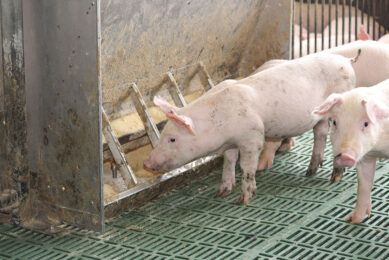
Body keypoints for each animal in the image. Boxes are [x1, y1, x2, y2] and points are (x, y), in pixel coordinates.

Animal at [145, 51, 358, 204]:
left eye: (172, 139)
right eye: (162, 135)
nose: (147, 163)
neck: (220, 121)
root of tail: (347, 61)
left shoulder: (252, 138)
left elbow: (246, 167)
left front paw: (244, 199)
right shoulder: (231, 144)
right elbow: (229, 162)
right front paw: (222, 192)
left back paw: (334, 178)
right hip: (319, 117)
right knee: (320, 133)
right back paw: (310, 171)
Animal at [310, 79, 388, 223]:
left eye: (366, 124)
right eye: (335, 122)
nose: (344, 156)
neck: (379, 147)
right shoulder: (365, 158)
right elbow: (364, 185)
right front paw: (353, 220)